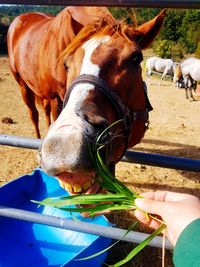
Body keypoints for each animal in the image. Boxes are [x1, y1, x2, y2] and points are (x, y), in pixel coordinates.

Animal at [7, 6, 166, 195]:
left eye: (136, 58)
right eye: (66, 64)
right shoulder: (55, 99)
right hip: (22, 84)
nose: (64, 147)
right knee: (33, 114)